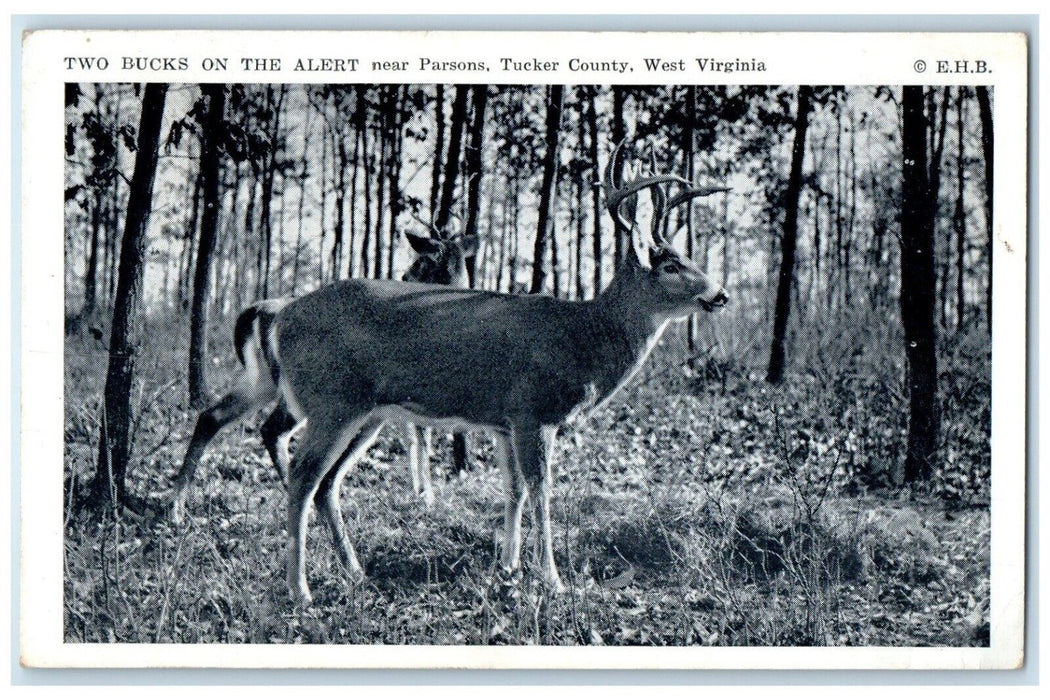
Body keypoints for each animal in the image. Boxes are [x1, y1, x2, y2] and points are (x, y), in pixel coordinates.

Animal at [172, 221, 476, 522]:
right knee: (273, 430)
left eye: (421, 261)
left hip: (262, 380)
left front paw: (421, 491)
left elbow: (415, 437)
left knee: (215, 417)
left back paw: (177, 508)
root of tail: (254, 312)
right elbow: (421, 437)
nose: (403, 276)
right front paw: (426, 495)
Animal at [259, 140, 726, 604]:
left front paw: (509, 567)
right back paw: (300, 590)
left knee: (326, 483)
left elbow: (514, 489)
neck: (582, 338)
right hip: (332, 400)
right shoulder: (534, 411)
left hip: (366, 412)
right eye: (670, 266)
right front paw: (552, 578)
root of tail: (281, 317)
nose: (720, 294)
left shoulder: (504, 422)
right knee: (303, 475)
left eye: (687, 256)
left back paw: (355, 573)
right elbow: (540, 490)